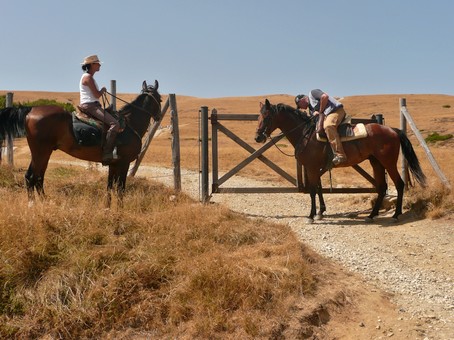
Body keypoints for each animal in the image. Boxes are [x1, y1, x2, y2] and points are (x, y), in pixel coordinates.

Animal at [0, 80, 162, 206]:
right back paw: (34, 204)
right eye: (160, 99)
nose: (159, 116)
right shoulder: (124, 163)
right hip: (41, 152)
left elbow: (110, 186)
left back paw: (44, 203)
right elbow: (120, 189)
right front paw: (119, 210)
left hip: (41, 153)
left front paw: (108, 208)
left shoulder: (114, 164)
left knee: (36, 178)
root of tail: (30, 110)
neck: (129, 124)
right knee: (33, 177)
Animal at [255, 98, 426, 223]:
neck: (306, 134)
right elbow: (319, 188)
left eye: (267, 117)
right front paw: (320, 212)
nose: (258, 137)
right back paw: (372, 215)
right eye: (259, 117)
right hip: (376, 163)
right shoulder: (316, 168)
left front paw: (311, 216)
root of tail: (393, 130)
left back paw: (396, 215)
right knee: (382, 187)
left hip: (388, 163)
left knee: (399, 184)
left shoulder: (311, 167)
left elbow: (312, 190)